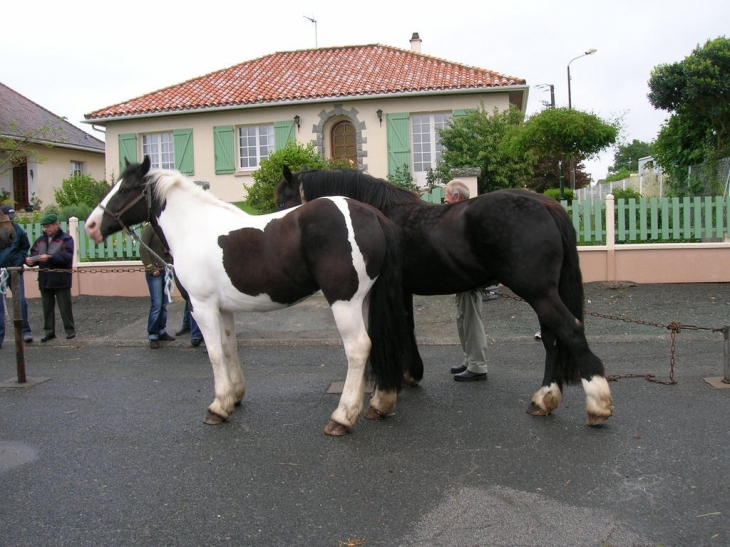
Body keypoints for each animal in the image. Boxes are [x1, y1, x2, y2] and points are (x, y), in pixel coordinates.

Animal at [84, 157, 410, 436]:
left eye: (125, 189)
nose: (91, 226)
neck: (193, 228)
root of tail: (373, 215)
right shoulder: (223, 308)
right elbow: (229, 348)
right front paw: (235, 397)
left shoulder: (202, 306)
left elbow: (214, 352)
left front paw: (218, 407)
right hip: (365, 300)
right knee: (377, 342)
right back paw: (379, 405)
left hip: (344, 301)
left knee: (358, 348)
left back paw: (342, 418)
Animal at [276, 168, 612, 428]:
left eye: (282, 199)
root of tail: (545, 204)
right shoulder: (402, 290)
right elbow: (407, 328)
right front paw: (410, 375)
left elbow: (395, 330)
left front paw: (393, 384)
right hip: (544, 294)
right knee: (553, 339)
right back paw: (544, 400)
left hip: (538, 292)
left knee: (570, 331)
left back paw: (597, 404)